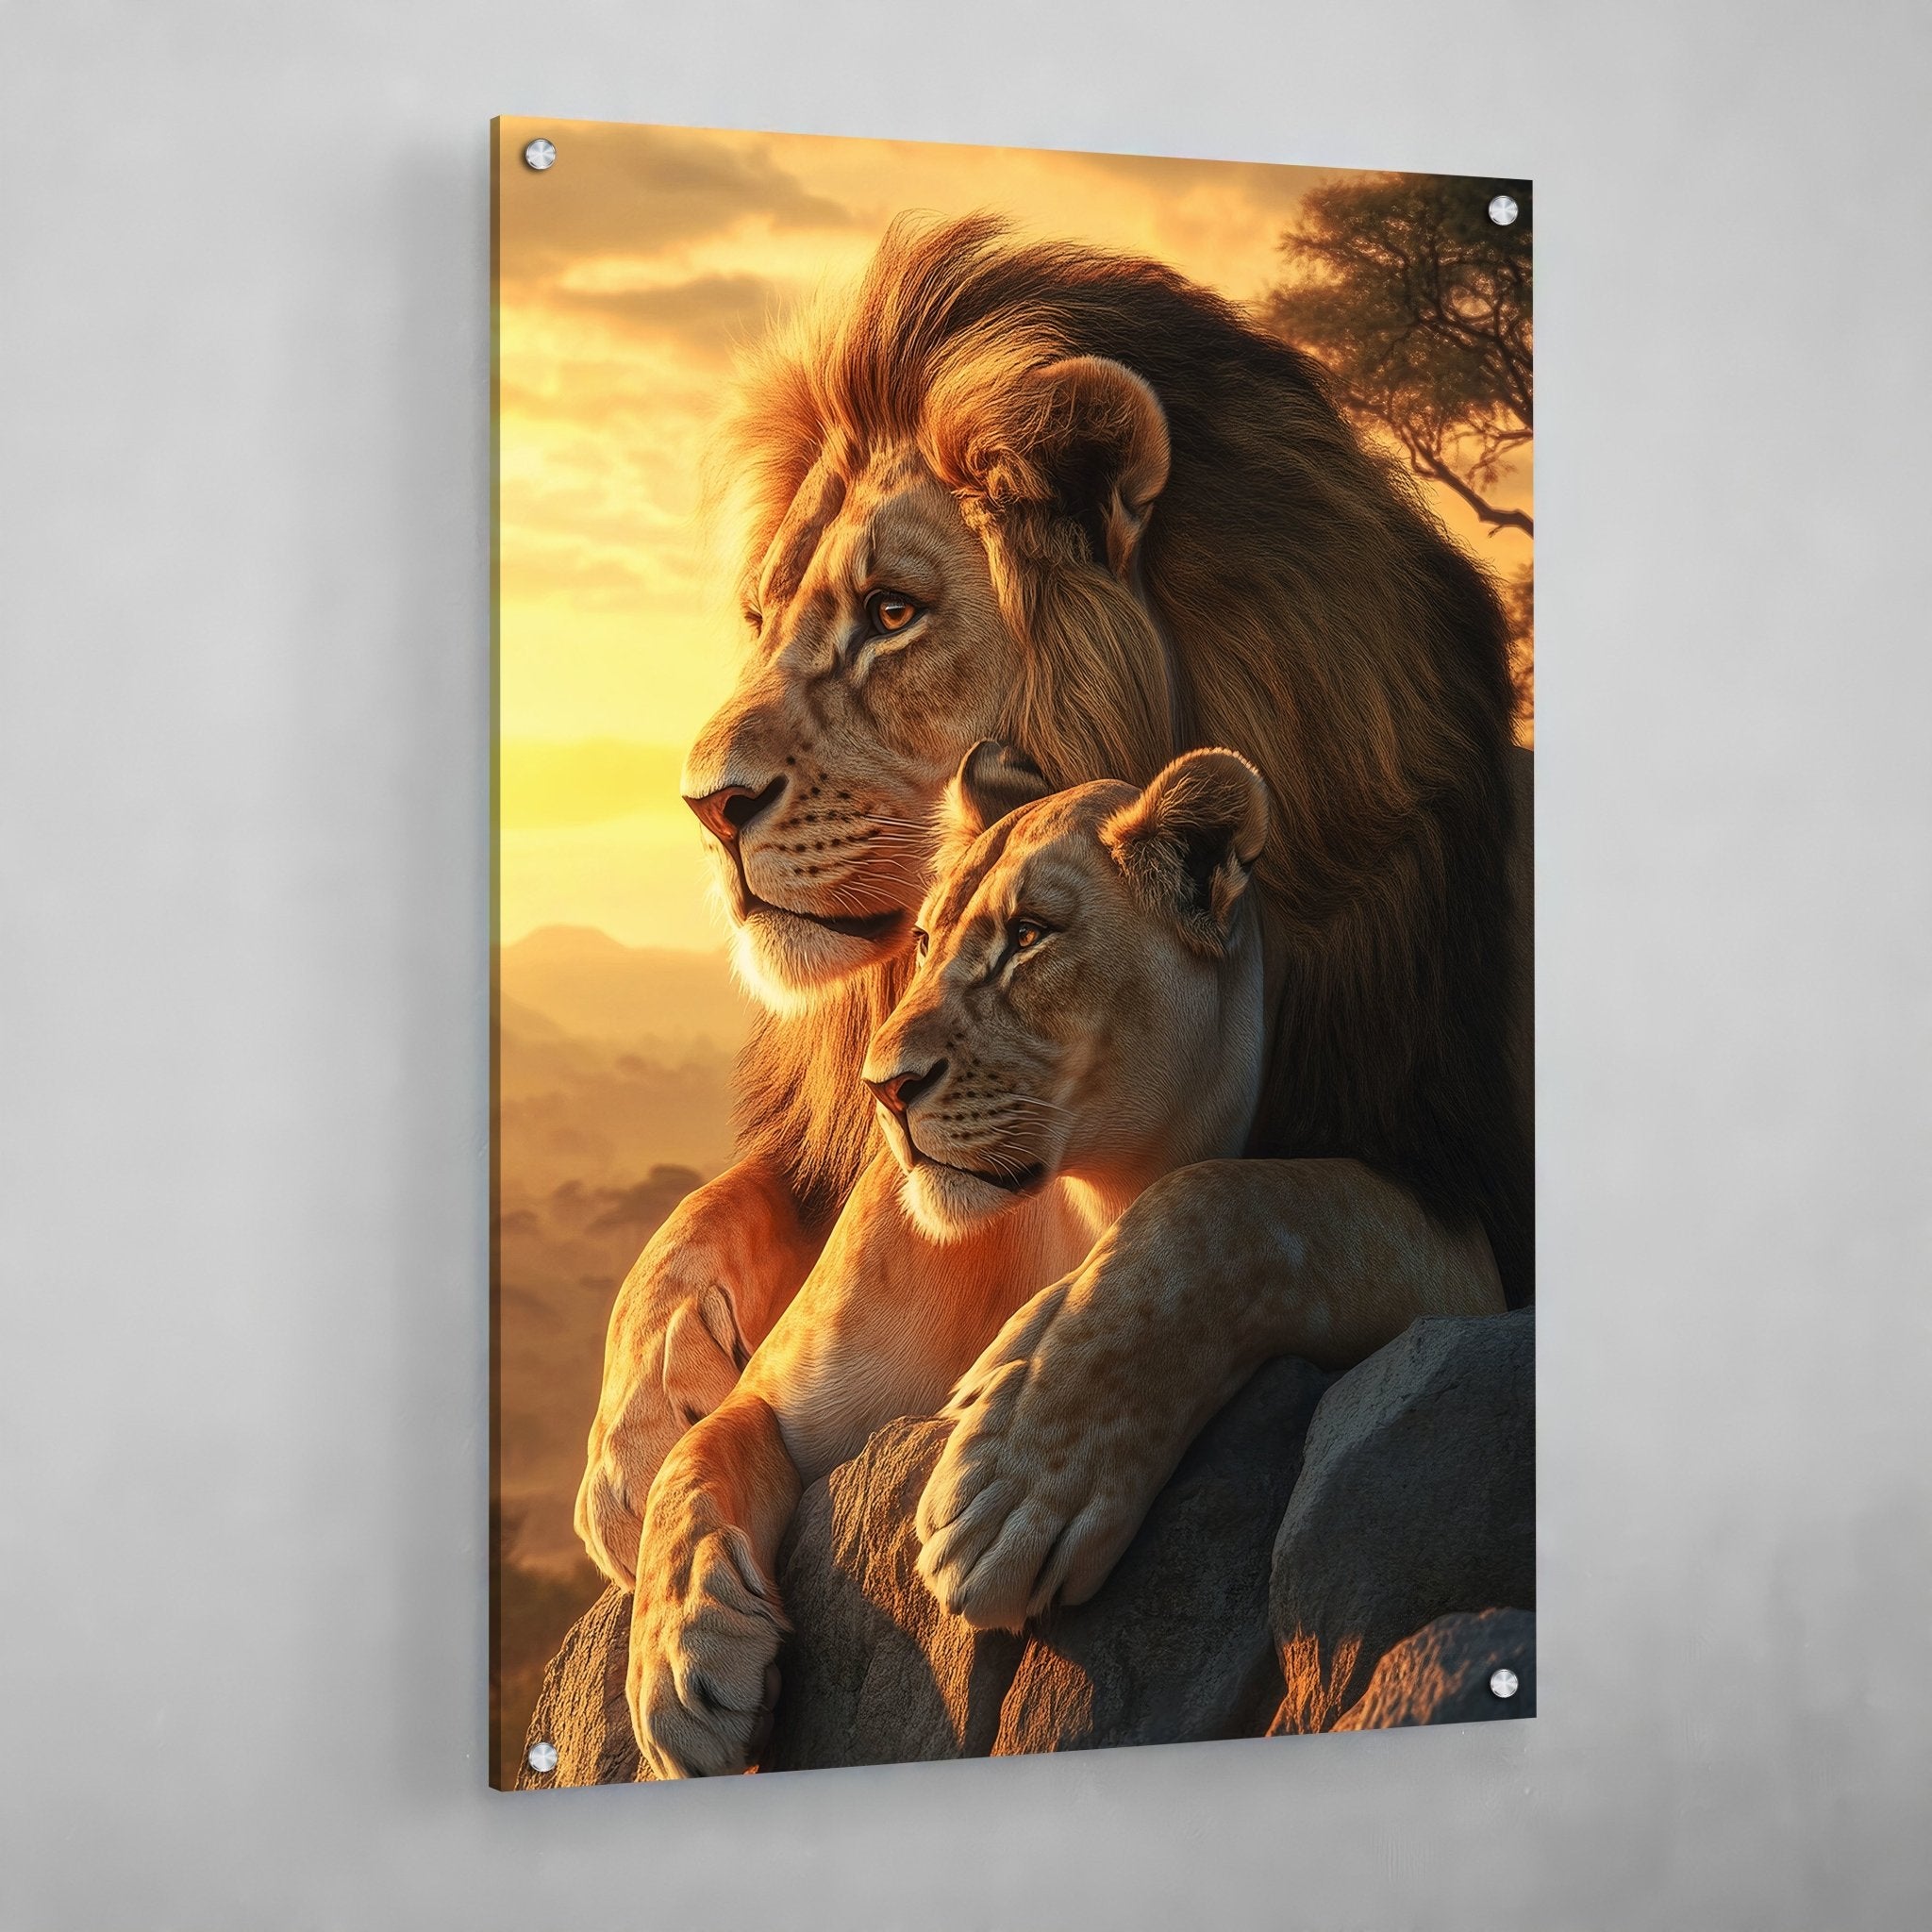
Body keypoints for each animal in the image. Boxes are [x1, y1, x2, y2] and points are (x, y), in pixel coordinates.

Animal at [576, 212, 1531, 1592]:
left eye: (892, 613)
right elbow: (709, 1210)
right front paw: (632, 1442)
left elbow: (1232, 1207)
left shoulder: (1453, 1184)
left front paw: (1030, 1453)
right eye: (761, 617)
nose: (705, 803)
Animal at [627, 744, 1504, 1777]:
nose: (881, 1088)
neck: (1079, 1207)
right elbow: (692, 1458)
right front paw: (679, 1665)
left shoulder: (1460, 1245)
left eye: (1029, 935)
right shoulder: (786, 1398)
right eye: (921, 941)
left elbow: (1223, 1204)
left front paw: (1014, 1481)